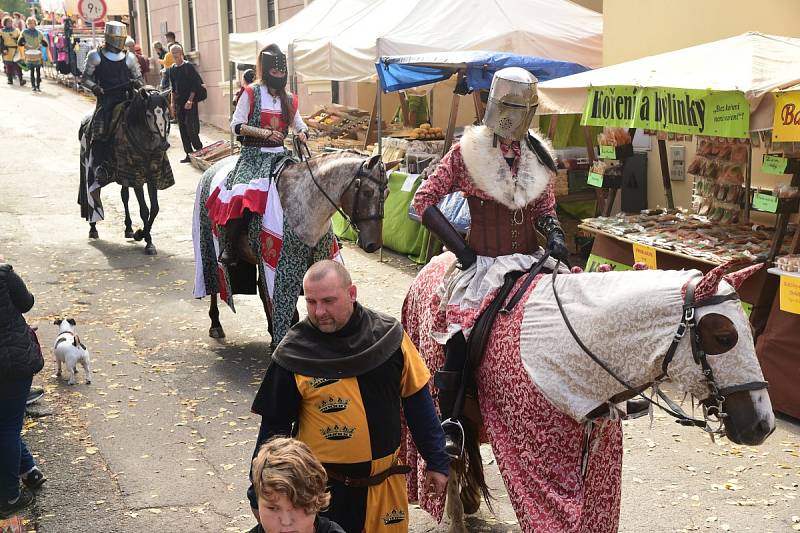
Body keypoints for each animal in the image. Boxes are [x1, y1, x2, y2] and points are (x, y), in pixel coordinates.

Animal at [78, 85, 172, 256]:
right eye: (148, 115)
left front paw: (140, 233)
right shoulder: (137, 176)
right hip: (89, 169)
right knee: (92, 195)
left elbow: (154, 208)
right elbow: (144, 210)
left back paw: (128, 228)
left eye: (167, 113)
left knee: (124, 196)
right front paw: (146, 240)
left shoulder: (151, 175)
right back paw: (93, 227)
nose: (163, 145)